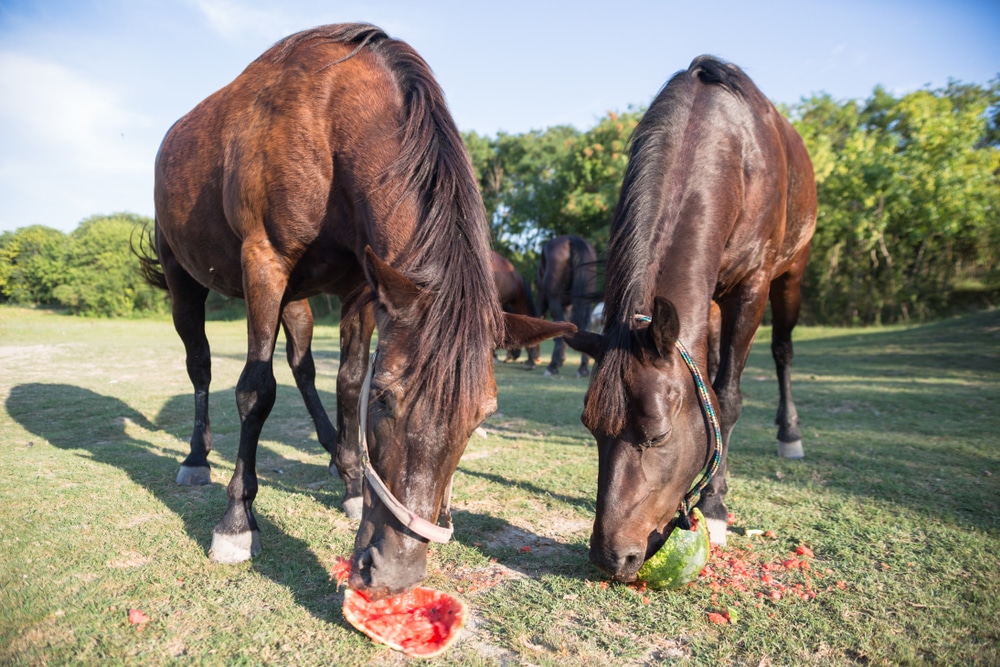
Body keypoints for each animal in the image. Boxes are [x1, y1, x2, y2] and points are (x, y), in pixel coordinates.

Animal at [143, 24, 580, 600]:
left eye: (483, 415)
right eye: (386, 398)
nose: (394, 571)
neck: (329, 119)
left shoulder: (362, 287)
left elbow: (346, 379)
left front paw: (352, 480)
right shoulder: (264, 261)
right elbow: (256, 390)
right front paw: (236, 522)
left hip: (297, 298)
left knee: (303, 366)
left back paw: (334, 452)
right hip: (184, 281)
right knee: (201, 365)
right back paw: (197, 458)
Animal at [568, 54, 816, 580]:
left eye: (658, 435)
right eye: (590, 428)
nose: (610, 556)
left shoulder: (752, 286)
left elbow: (728, 399)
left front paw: (716, 507)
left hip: (791, 274)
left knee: (782, 350)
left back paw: (789, 434)